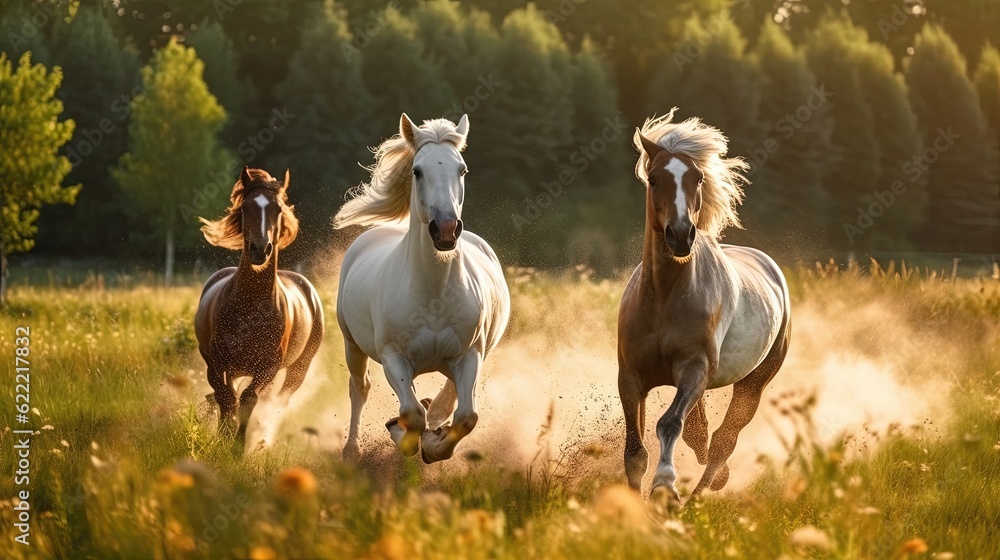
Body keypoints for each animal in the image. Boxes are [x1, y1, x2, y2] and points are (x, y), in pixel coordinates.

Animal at [195, 167, 325, 443]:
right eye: (245, 207)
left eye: (278, 209)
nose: (259, 249)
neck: (251, 308)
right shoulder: (215, 363)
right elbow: (226, 398)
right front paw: (223, 438)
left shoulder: (268, 366)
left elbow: (248, 399)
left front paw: (237, 445)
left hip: (298, 368)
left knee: (277, 400)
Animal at [334, 113, 510, 463]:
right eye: (417, 170)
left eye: (462, 169)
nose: (446, 230)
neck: (434, 293)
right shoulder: (394, 357)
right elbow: (412, 414)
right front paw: (402, 432)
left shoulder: (470, 354)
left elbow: (465, 416)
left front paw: (432, 443)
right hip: (352, 345)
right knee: (359, 388)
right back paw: (352, 449)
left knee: (447, 397)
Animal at [617, 110, 791, 504]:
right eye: (654, 180)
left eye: (697, 178)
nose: (681, 236)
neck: (665, 297)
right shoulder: (630, 377)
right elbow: (635, 451)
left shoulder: (695, 368)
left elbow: (669, 423)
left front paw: (665, 487)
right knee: (702, 432)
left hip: (754, 382)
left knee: (724, 440)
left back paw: (697, 496)